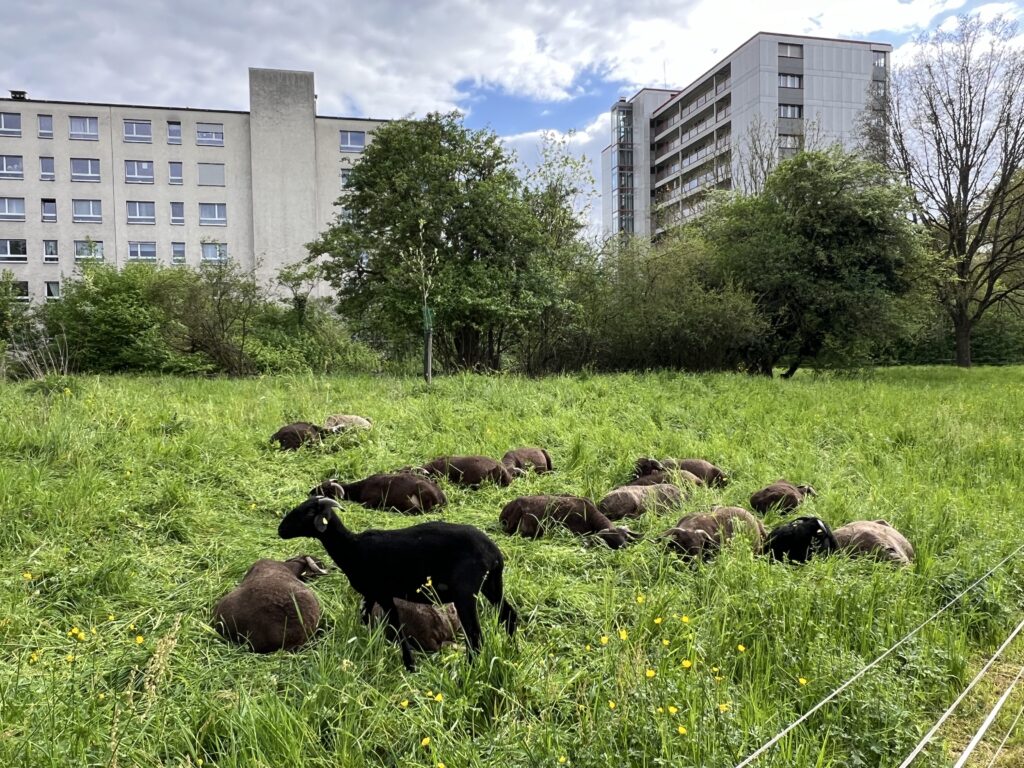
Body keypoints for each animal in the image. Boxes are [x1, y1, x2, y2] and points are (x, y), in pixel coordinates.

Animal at [280, 495, 520, 671]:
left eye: (309, 512)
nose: (280, 530)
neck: (351, 548)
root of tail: (494, 553)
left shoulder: (384, 594)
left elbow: (397, 627)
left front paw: (410, 666)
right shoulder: (370, 594)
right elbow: (365, 618)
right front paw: (371, 646)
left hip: (466, 592)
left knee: (475, 634)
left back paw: (469, 667)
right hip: (492, 584)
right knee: (508, 614)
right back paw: (512, 649)